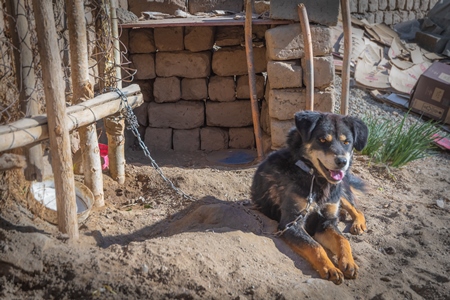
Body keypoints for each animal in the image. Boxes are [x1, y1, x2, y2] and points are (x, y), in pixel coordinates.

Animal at [250, 111, 370, 284]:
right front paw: (330, 268)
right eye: (322, 140)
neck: (315, 179)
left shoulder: (326, 221)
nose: (342, 161)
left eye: (347, 142)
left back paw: (358, 223)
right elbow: (315, 246)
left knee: (356, 208)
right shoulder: (291, 223)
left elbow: (343, 240)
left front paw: (348, 262)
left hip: (340, 192)